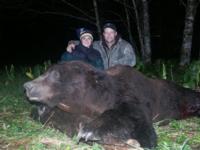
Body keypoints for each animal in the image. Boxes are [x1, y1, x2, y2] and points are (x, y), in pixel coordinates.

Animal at [23, 60, 200, 149]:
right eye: (45, 72)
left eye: (55, 75)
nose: (27, 86)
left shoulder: (130, 94)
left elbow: (139, 123)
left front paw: (90, 130)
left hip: (181, 95)